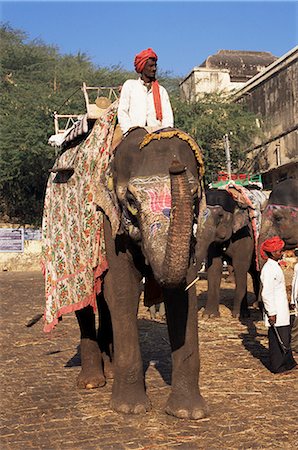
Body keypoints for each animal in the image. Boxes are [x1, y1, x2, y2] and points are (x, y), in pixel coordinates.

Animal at [75, 125, 208, 420]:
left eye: (195, 197)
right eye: (132, 201)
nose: (175, 165)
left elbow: (183, 293)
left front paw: (188, 413)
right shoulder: (110, 222)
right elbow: (123, 288)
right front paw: (130, 408)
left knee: (103, 302)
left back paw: (110, 370)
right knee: (86, 299)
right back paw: (92, 382)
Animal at [197, 188, 260, 318]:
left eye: (220, 215)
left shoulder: (246, 235)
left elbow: (240, 266)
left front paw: (239, 315)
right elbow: (215, 267)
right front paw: (209, 315)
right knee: (254, 273)